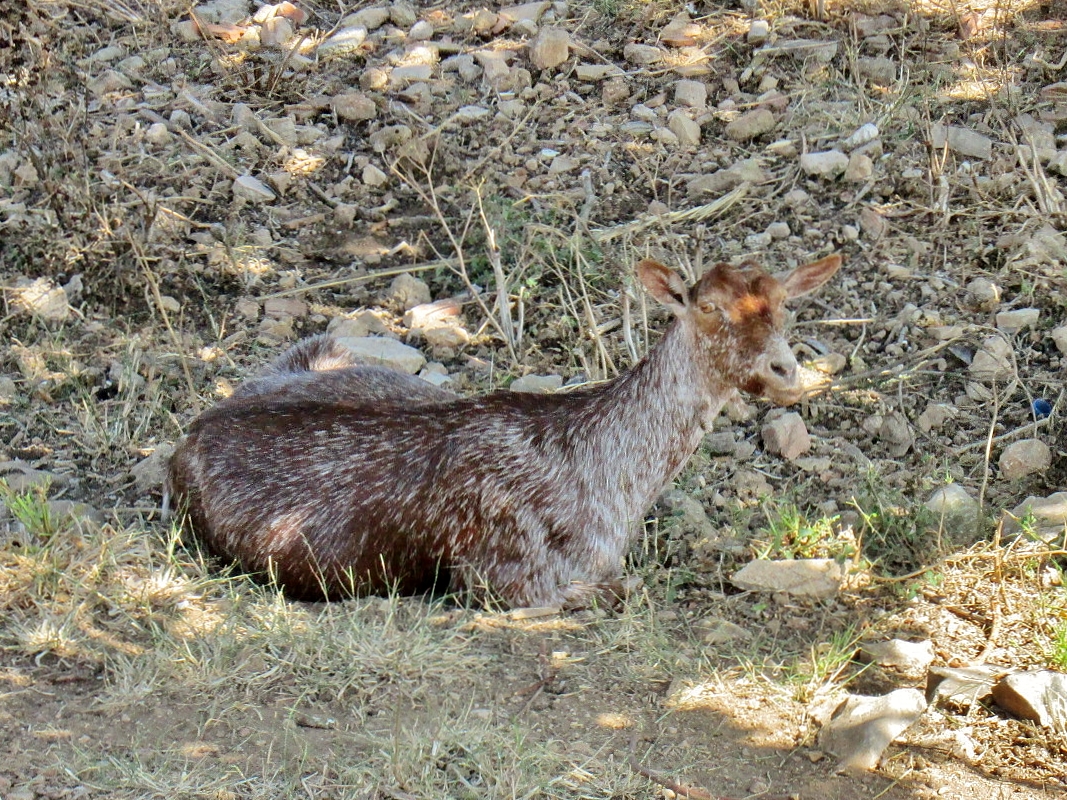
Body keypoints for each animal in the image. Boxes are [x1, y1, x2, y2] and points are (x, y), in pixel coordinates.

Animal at [166, 254, 836, 605]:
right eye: (708, 307)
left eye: (784, 304)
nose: (785, 371)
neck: (608, 473)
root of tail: (190, 433)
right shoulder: (505, 577)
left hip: (330, 352)